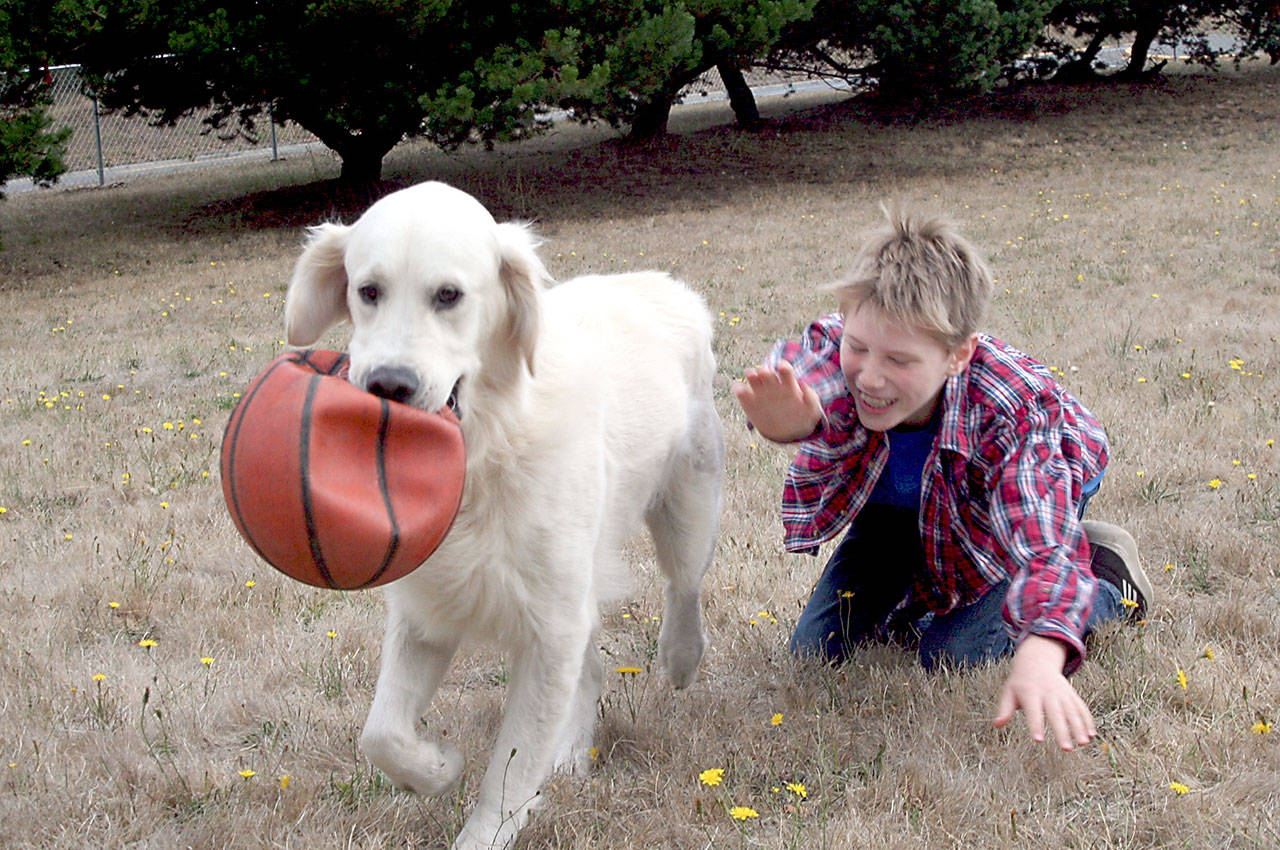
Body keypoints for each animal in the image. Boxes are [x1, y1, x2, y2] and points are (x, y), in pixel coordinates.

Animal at [284, 183, 721, 844]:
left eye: (449, 295)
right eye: (368, 291)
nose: (388, 385)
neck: (485, 450)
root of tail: (662, 283)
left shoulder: (550, 625)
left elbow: (510, 767)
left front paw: (486, 828)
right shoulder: (427, 610)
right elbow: (380, 734)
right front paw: (436, 770)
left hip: (685, 510)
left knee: (684, 587)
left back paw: (679, 658)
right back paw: (570, 753)